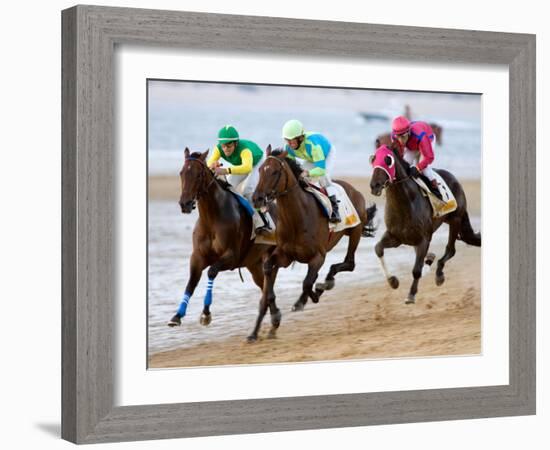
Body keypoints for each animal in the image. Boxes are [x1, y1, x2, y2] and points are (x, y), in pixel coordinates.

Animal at [168, 149, 282, 340]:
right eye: (181, 173)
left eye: (198, 174)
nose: (185, 204)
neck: (212, 219)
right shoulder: (197, 257)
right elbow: (191, 282)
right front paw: (177, 316)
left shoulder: (231, 256)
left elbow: (212, 272)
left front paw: (206, 313)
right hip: (254, 264)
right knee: (266, 287)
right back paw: (275, 320)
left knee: (269, 286)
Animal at [251, 148, 378, 342]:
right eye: (259, 170)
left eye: (275, 172)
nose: (257, 198)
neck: (297, 218)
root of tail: (354, 189)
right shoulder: (285, 256)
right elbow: (270, 268)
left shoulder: (318, 256)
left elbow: (306, 283)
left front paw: (306, 298)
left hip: (355, 230)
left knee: (349, 263)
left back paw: (324, 284)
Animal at [370, 143, 484, 306]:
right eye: (373, 159)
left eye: (388, 160)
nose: (375, 185)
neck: (404, 203)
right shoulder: (395, 237)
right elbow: (378, 248)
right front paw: (393, 281)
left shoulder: (424, 239)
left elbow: (416, 270)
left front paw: (411, 294)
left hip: (455, 219)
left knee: (451, 250)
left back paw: (439, 274)